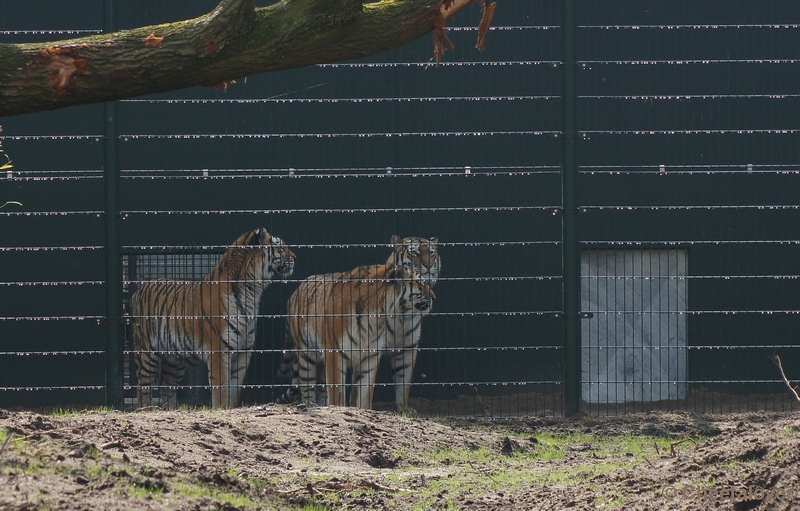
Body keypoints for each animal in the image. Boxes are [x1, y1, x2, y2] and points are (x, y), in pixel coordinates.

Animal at [131, 230, 296, 410]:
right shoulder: (219, 349)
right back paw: (145, 409)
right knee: (143, 387)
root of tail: (140, 289)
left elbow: (234, 387)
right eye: (280, 246)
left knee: (167, 386)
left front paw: (231, 408)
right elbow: (221, 387)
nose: (295, 258)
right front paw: (221, 409)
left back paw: (171, 410)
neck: (252, 292)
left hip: (174, 360)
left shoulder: (243, 351)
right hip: (147, 352)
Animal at [278, 262, 434, 410]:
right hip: (306, 355)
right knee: (307, 386)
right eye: (421, 284)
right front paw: (338, 407)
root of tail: (295, 291)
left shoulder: (370, 356)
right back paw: (310, 405)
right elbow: (336, 391)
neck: (378, 316)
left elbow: (364, 393)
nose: (434, 297)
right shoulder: (334, 353)